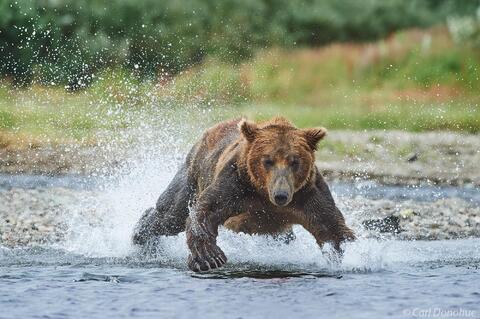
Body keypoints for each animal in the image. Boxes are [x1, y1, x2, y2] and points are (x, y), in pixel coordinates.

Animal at [133, 117, 354, 272]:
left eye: (294, 161)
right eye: (268, 160)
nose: (281, 195)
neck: (262, 193)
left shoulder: (307, 193)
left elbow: (331, 226)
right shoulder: (235, 184)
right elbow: (204, 211)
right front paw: (210, 258)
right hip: (195, 171)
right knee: (171, 214)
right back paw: (141, 237)